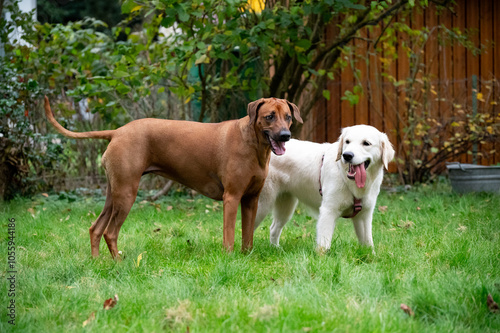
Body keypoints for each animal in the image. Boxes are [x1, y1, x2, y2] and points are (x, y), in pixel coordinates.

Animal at [44, 96, 300, 256]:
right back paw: (118, 263)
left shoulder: (251, 199)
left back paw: (98, 263)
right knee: (110, 232)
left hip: (113, 194)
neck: (254, 145)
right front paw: (229, 258)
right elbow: (229, 235)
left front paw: (246, 257)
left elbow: (247, 236)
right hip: (126, 194)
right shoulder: (232, 197)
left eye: (288, 116)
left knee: (95, 229)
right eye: (269, 116)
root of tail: (117, 131)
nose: (285, 136)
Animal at [256, 124, 392, 249]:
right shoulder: (328, 211)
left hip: (286, 207)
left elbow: (368, 244)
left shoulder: (364, 215)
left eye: (366, 143)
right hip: (262, 205)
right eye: (347, 141)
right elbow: (324, 245)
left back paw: (276, 249)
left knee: (274, 228)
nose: (347, 155)